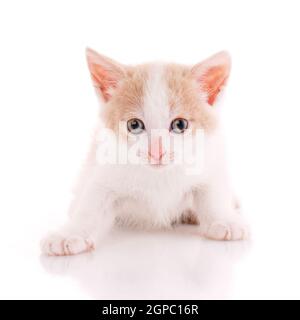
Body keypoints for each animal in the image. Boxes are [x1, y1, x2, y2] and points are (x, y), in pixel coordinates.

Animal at [41, 48, 248, 256]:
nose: (156, 152)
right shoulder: (106, 166)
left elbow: (212, 189)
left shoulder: (209, 157)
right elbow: (92, 202)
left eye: (180, 125)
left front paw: (223, 219)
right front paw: (70, 233)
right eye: (134, 125)